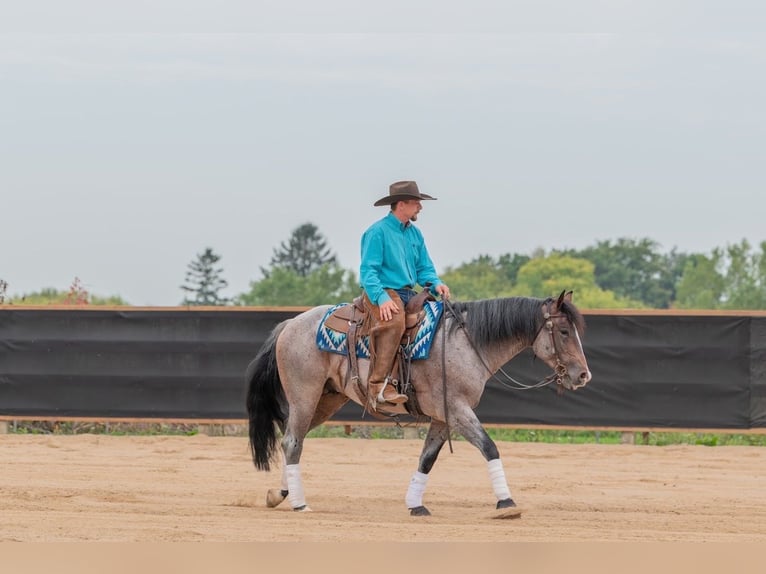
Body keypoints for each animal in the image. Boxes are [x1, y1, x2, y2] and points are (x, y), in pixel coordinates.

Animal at [245, 290, 591, 518]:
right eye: (563, 331)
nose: (583, 375)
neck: (465, 343)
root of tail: (290, 323)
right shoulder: (459, 410)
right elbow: (489, 447)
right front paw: (506, 504)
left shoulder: (443, 416)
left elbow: (427, 458)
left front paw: (415, 504)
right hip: (305, 395)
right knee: (292, 441)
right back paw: (299, 503)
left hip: (325, 400)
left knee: (294, 440)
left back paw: (280, 494)